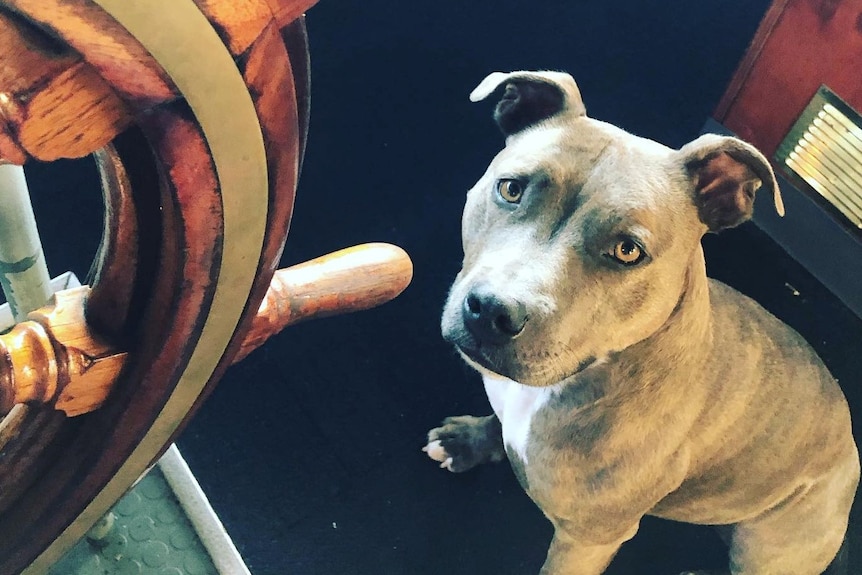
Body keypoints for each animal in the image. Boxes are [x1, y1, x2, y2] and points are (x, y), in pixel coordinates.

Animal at [426, 72, 862, 575]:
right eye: (511, 189)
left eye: (628, 250)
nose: (492, 311)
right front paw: (468, 440)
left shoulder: (587, 539)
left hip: (767, 546)